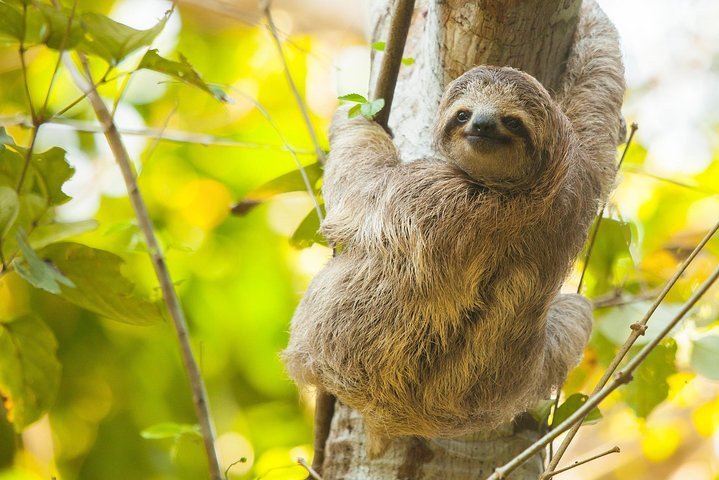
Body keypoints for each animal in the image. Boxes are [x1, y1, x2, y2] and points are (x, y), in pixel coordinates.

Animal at [283, 0, 624, 452]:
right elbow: (597, 104)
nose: (482, 124)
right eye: (463, 114)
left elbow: (357, 194)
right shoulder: (576, 182)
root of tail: (414, 417)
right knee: (576, 315)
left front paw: (356, 122)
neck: (517, 194)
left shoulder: (426, 191)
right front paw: (592, 18)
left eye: (512, 121)